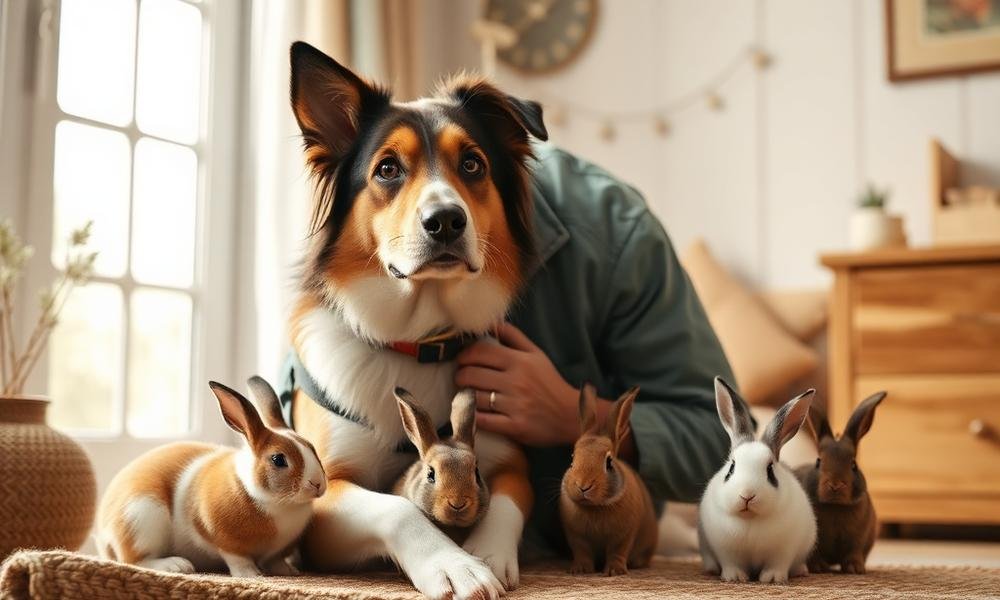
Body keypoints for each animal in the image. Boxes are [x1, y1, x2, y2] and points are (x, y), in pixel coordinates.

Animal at [96, 377, 327, 577]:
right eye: (278, 459)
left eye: (312, 448)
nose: (318, 484)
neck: (280, 504)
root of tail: (104, 532)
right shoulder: (221, 538)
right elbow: (238, 559)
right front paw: (251, 575)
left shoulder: (275, 553)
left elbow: (274, 560)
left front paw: (288, 571)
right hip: (141, 518)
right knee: (135, 559)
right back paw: (177, 566)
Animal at [559, 384, 657, 576]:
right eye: (572, 458)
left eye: (609, 462)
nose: (583, 486)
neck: (595, 507)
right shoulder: (576, 536)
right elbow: (582, 552)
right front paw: (580, 570)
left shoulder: (623, 535)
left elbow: (617, 552)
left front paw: (614, 571)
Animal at [698, 377, 817, 584]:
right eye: (731, 468)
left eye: (770, 470)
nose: (747, 495)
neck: (750, 519)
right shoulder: (725, 551)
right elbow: (731, 563)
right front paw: (735, 578)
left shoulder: (783, 551)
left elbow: (777, 564)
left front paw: (772, 579)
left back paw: (801, 571)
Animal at [794, 391, 886, 574]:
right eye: (818, 461)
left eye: (853, 465)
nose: (835, 484)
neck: (835, 506)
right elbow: (814, 554)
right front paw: (818, 568)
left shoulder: (857, 540)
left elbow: (854, 552)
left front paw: (854, 569)